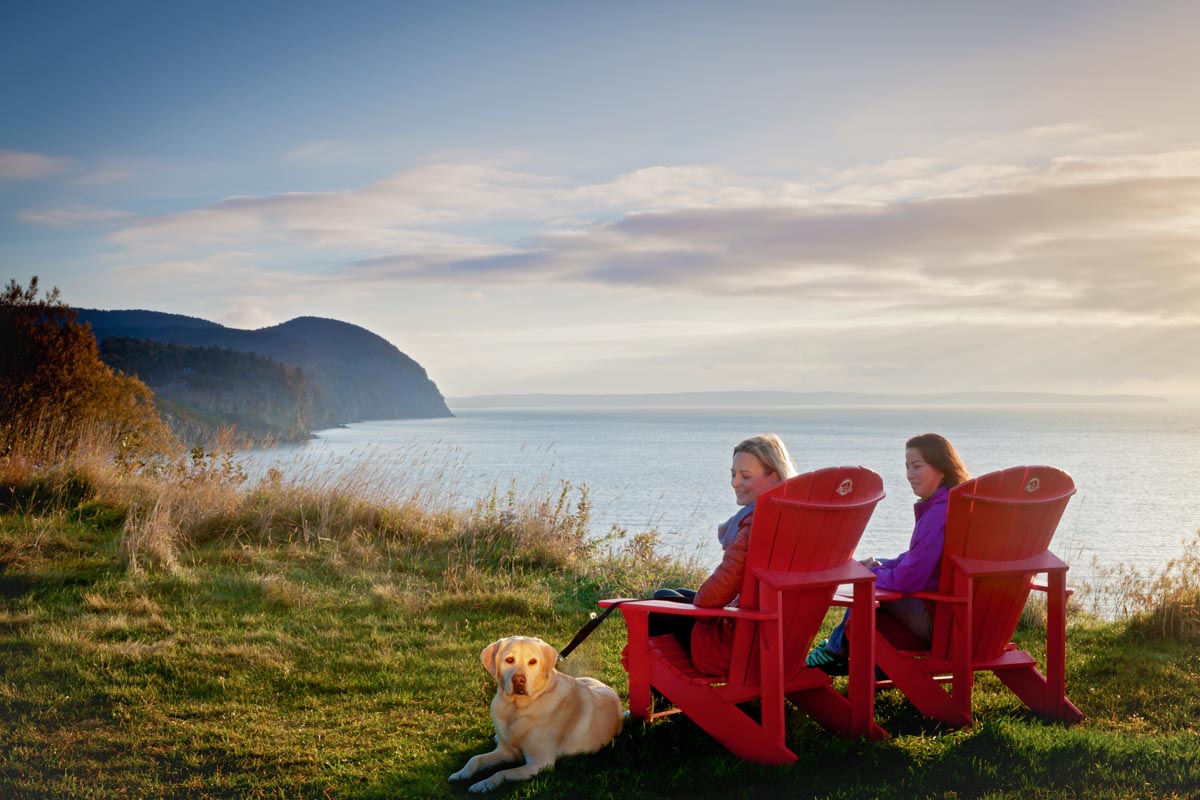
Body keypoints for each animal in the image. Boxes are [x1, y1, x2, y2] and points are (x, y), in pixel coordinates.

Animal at [448, 633, 624, 791]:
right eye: (509, 660)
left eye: (532, 662)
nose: (519, 680)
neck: (516, 708)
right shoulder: (506, 752)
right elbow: (475, 758)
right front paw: (461, 774)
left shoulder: (540, 763)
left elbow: (502, 772)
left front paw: (483, 784)